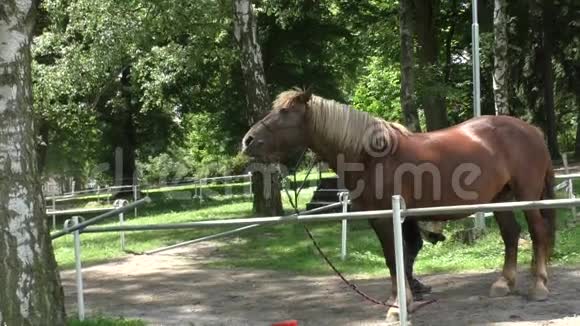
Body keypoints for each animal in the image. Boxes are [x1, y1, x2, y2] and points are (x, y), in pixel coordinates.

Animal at [241, 90, 556, 320]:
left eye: (284, 112)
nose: (248, 140)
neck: (371, 156)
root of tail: (532, 130)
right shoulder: (380, 218)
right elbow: (395, 259)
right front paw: (400, 301)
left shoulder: (386, 217)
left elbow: (395, 257)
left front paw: (396, 308)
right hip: (500, 198)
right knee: (511, 234)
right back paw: (504, 284)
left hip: (527, 195)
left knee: (538, 233)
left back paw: (539, 287)